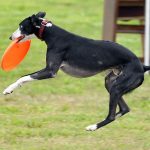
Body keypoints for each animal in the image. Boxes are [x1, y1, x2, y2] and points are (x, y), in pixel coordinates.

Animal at [3, 12, 150, 131]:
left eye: (22, 26)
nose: (10, 37)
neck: (52, 34)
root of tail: (142, 66)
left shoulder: (50, 71)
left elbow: (23, 77)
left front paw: (8, 89)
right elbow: (25, 76)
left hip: (116, 88)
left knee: (112, 116)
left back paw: (93, 127)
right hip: (111, 83)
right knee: (124, 109)